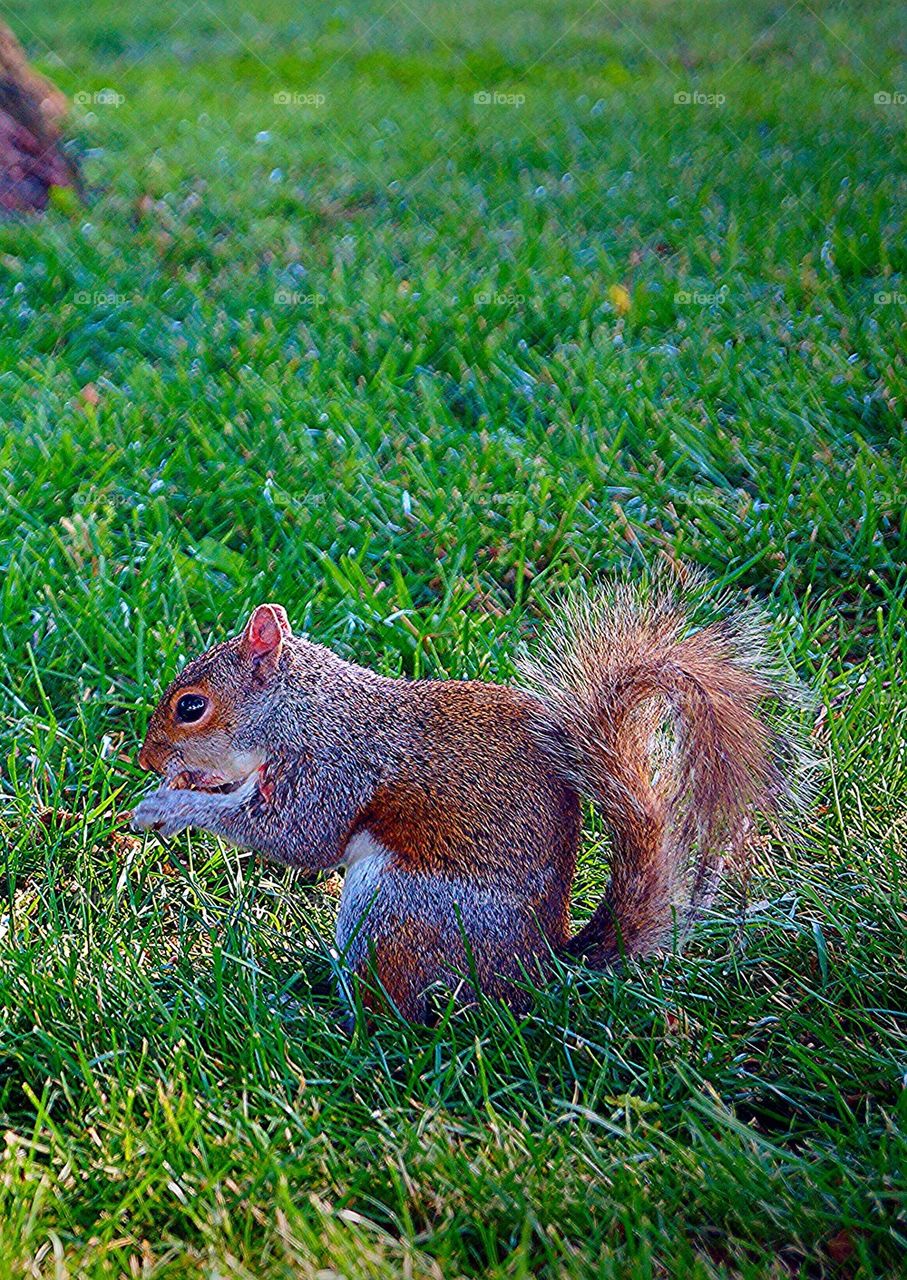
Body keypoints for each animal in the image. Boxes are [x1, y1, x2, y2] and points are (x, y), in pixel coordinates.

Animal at [131, 580, 802, 1022]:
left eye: (191, 706)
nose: (145, 760)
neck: (300, 710)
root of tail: (539, 973)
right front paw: (181, 794)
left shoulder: (336, 768)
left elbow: (300, 839)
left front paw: (166, 807)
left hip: (398, 914)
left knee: (401, 1010)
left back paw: (325, 1018)